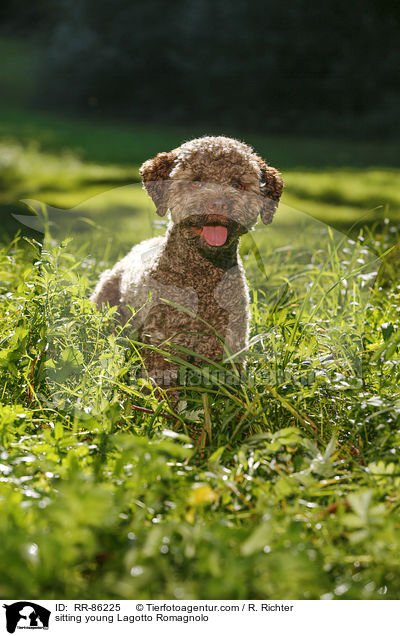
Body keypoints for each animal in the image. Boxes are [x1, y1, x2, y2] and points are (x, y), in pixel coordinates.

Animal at [92, 135, 282, 388]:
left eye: (239, 185)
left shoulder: (229, 346)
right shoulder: (162, 346)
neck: (201, 276)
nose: (219, 204)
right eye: (195, 181)